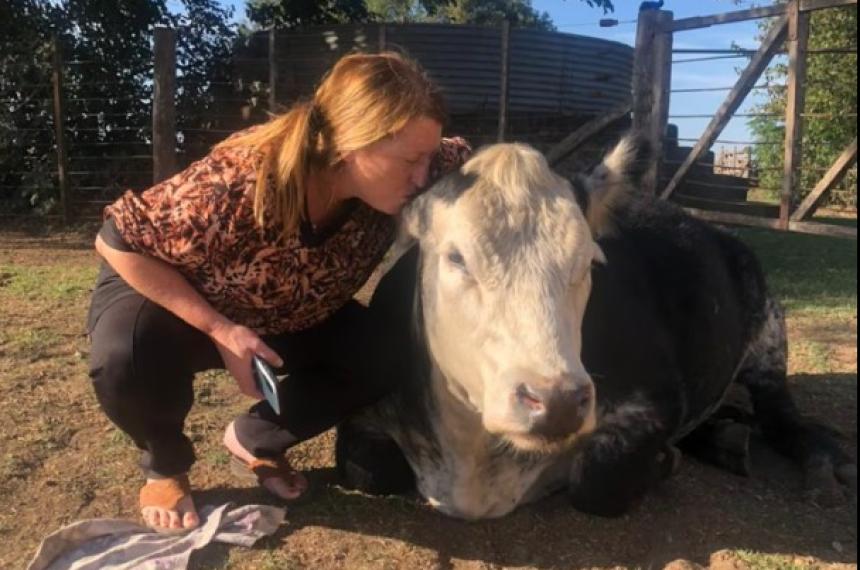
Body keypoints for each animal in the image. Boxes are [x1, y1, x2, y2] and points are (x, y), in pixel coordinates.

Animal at [332, 138, 856, 520]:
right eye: (457, 257)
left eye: (588, 261)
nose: (557, 401)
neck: (474, 465)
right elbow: (368, 469)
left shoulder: (657, 397)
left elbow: (598, 483)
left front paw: (663, 461)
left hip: (769, 337)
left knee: (786, 421)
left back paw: (819, 472)